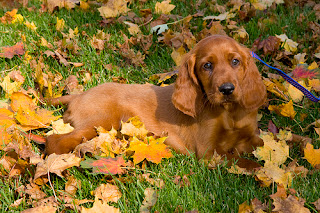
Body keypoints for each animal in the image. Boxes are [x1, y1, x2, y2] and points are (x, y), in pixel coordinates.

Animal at [46, 35, 266, 169]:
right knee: (55, 141)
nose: (227, 89)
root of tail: (78, 95)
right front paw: (258, 168)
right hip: (102, 120)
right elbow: (244, 162)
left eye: (235, 61)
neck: (229, 112)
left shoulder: (250, 136)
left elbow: (266, 145)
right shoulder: (208, 152)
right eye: (207, 66)